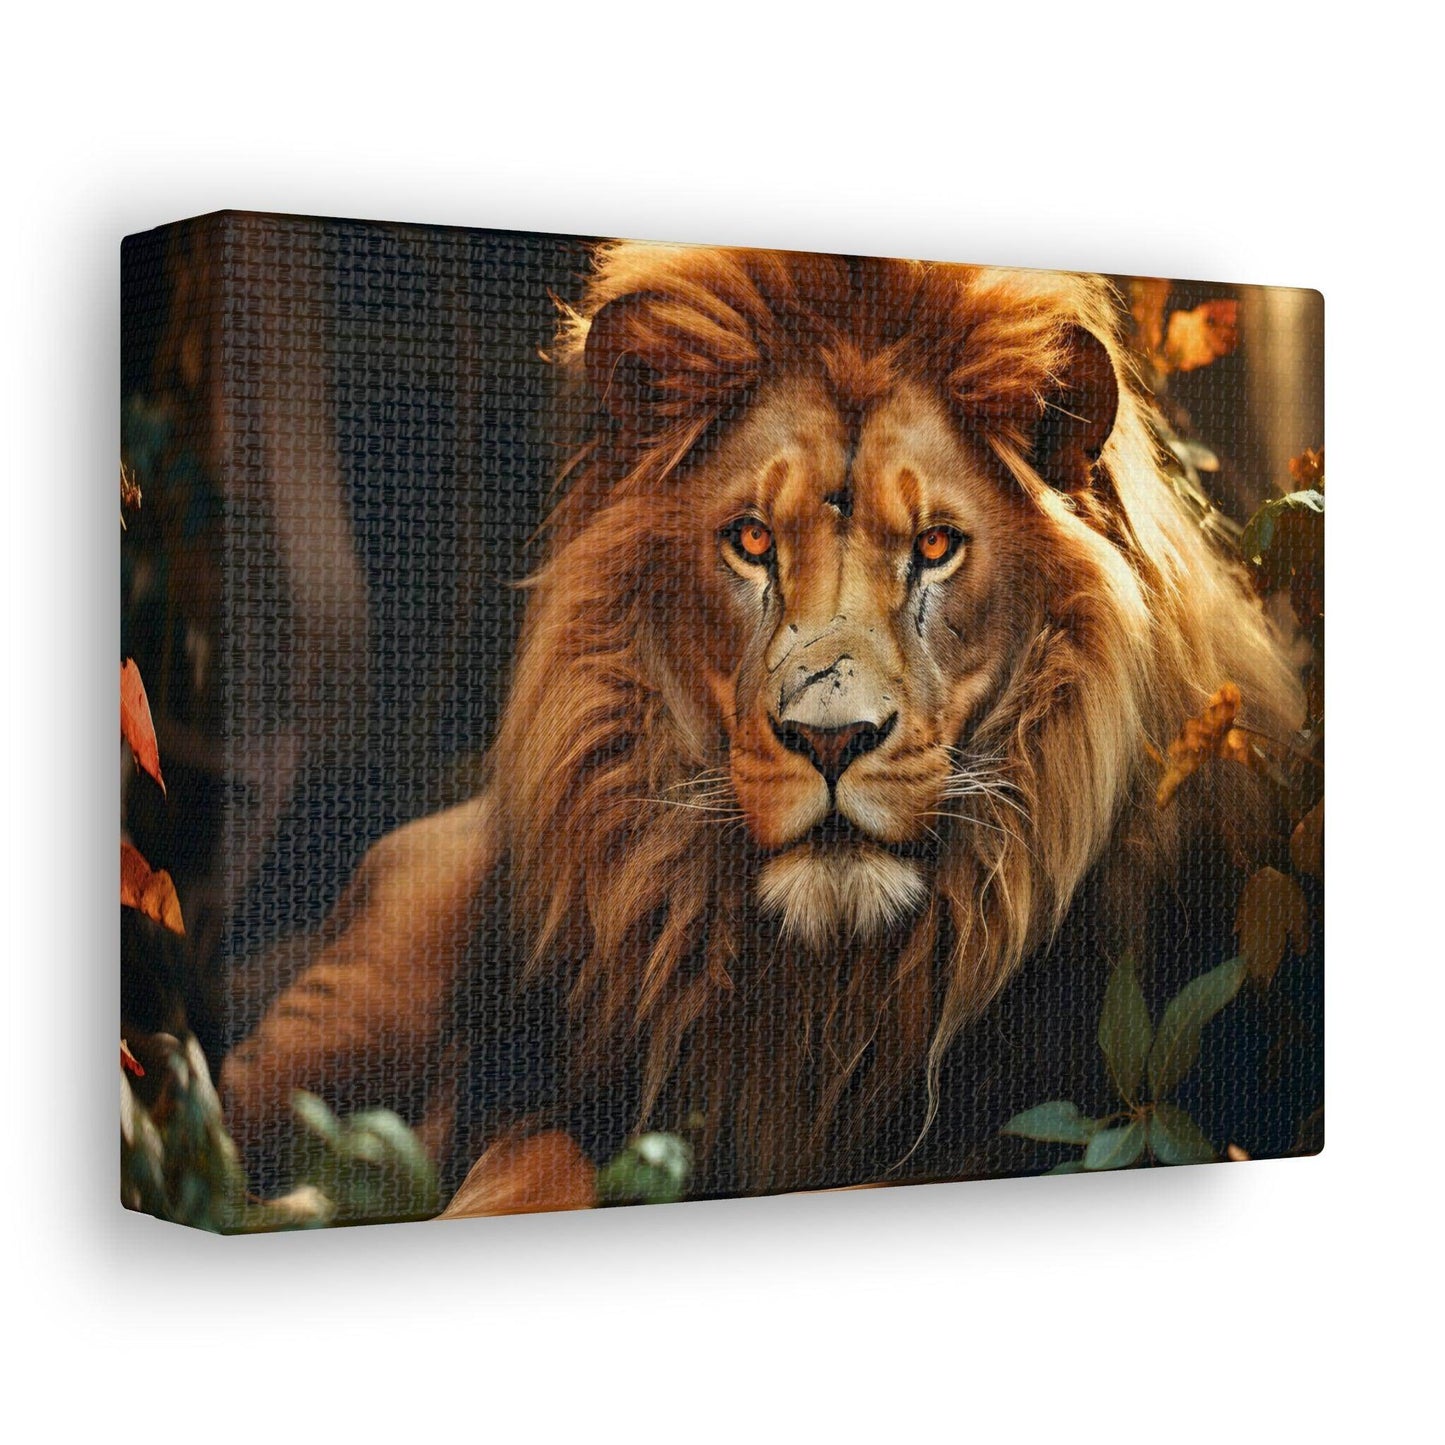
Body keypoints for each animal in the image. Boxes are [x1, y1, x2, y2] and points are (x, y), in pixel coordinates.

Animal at [221, 242, 1303, 1215]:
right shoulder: (550, 1090)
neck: (822, 990)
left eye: (935, 547)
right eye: (750, 540)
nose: (830, 739)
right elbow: (529, 1163)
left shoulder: (1005, 1131)